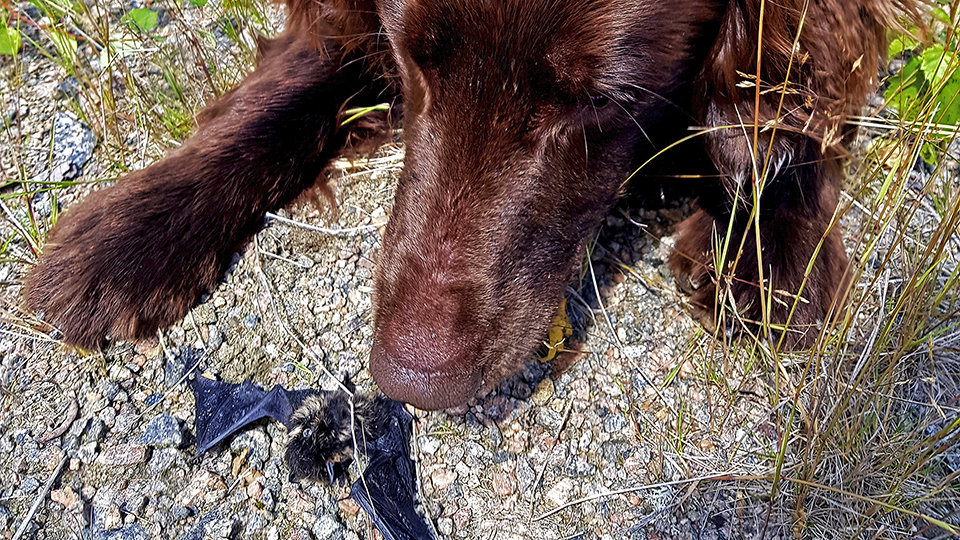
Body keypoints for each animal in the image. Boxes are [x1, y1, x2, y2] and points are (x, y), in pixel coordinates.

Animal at [26, 0, 920, 410]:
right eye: (412, 57)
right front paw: (130, 232)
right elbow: (287, 90)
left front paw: (771, 248)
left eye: (602, 98)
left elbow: (788, 113)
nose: (410, 382)